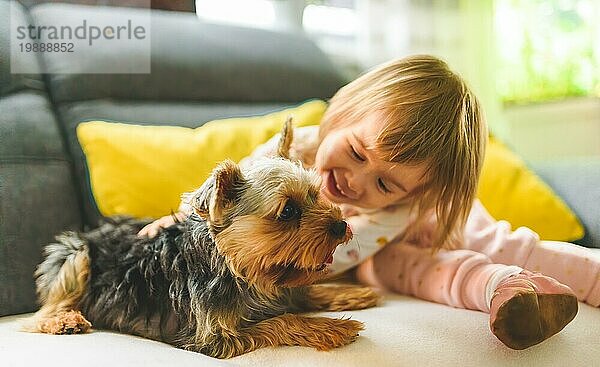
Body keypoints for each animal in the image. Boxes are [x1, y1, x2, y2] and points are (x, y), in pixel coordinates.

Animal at [25, 120, 380, 360]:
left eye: (315, 195)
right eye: (288, 210)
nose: (341, 225)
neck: (239, 269)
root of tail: (95, 231)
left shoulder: (277, 288)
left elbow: (301, 295)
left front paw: (350, 294)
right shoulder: (213, 339)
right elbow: (282, 320)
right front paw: (331, 327)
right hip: (75, 254)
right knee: (44, 311)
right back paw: (64, 321)